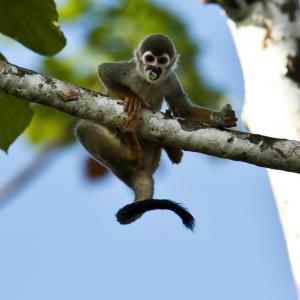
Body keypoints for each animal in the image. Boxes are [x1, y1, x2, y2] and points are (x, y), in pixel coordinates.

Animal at [74, 33, 237, 230]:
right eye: (150, 58)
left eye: (162, 61)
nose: (154, 68)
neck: (147, 80)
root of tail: (136, 176)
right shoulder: (130, 70)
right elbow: (104, 70)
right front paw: (134, 98)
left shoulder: (171, 79)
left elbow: (183, 109)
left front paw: (223, 118)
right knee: (84, 128)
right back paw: (131, 152)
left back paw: (172, 152)